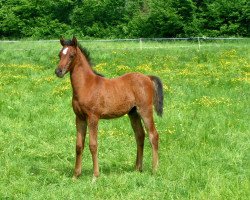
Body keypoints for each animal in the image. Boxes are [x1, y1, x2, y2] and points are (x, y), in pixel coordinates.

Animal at [55, 36, 164, 180]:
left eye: (72, 55)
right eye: (60, 54)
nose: (58, 71)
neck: (87, 85)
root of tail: (147, 77)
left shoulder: (93, 117)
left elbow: (93, 145)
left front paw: (95, 176)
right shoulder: (79, 118)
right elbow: (79, 145)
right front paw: (75, 176)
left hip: (145, 111)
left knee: (153, 135)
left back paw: (155, 169)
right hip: (133, 113)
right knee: (140, 135)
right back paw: (137, 168)